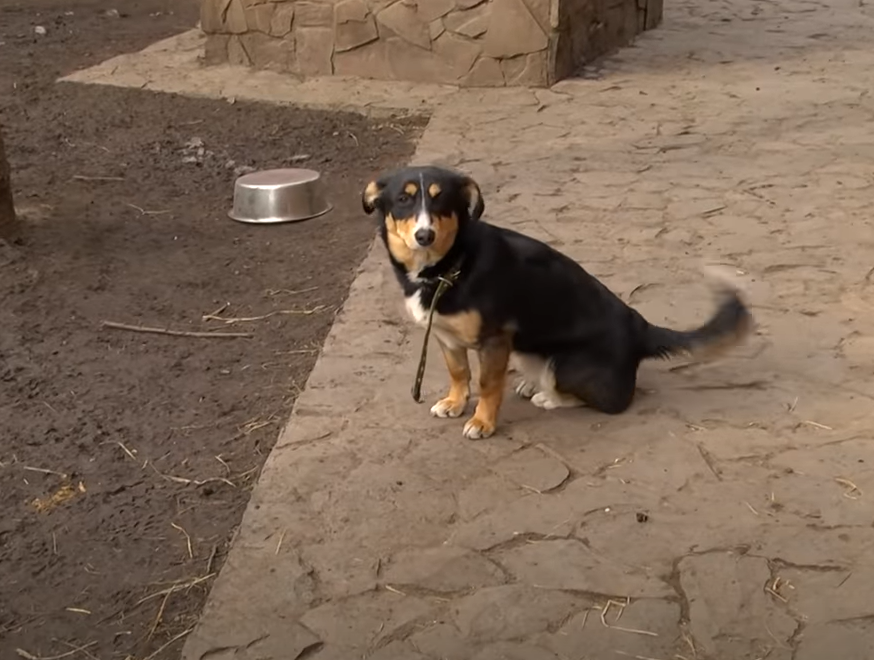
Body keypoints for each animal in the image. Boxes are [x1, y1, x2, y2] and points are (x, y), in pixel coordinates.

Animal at [360, 165, 748, 438]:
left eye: (441, 200)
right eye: (403, 200)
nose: (424, 235)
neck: (449, 265)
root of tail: (640, 328)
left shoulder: (494, 339)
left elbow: (487, 385)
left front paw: (483, 422)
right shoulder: (446, 336)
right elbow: (460, 373)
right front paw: (455, 403)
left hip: (565, 364)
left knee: (611, 401)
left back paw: (548, 396)